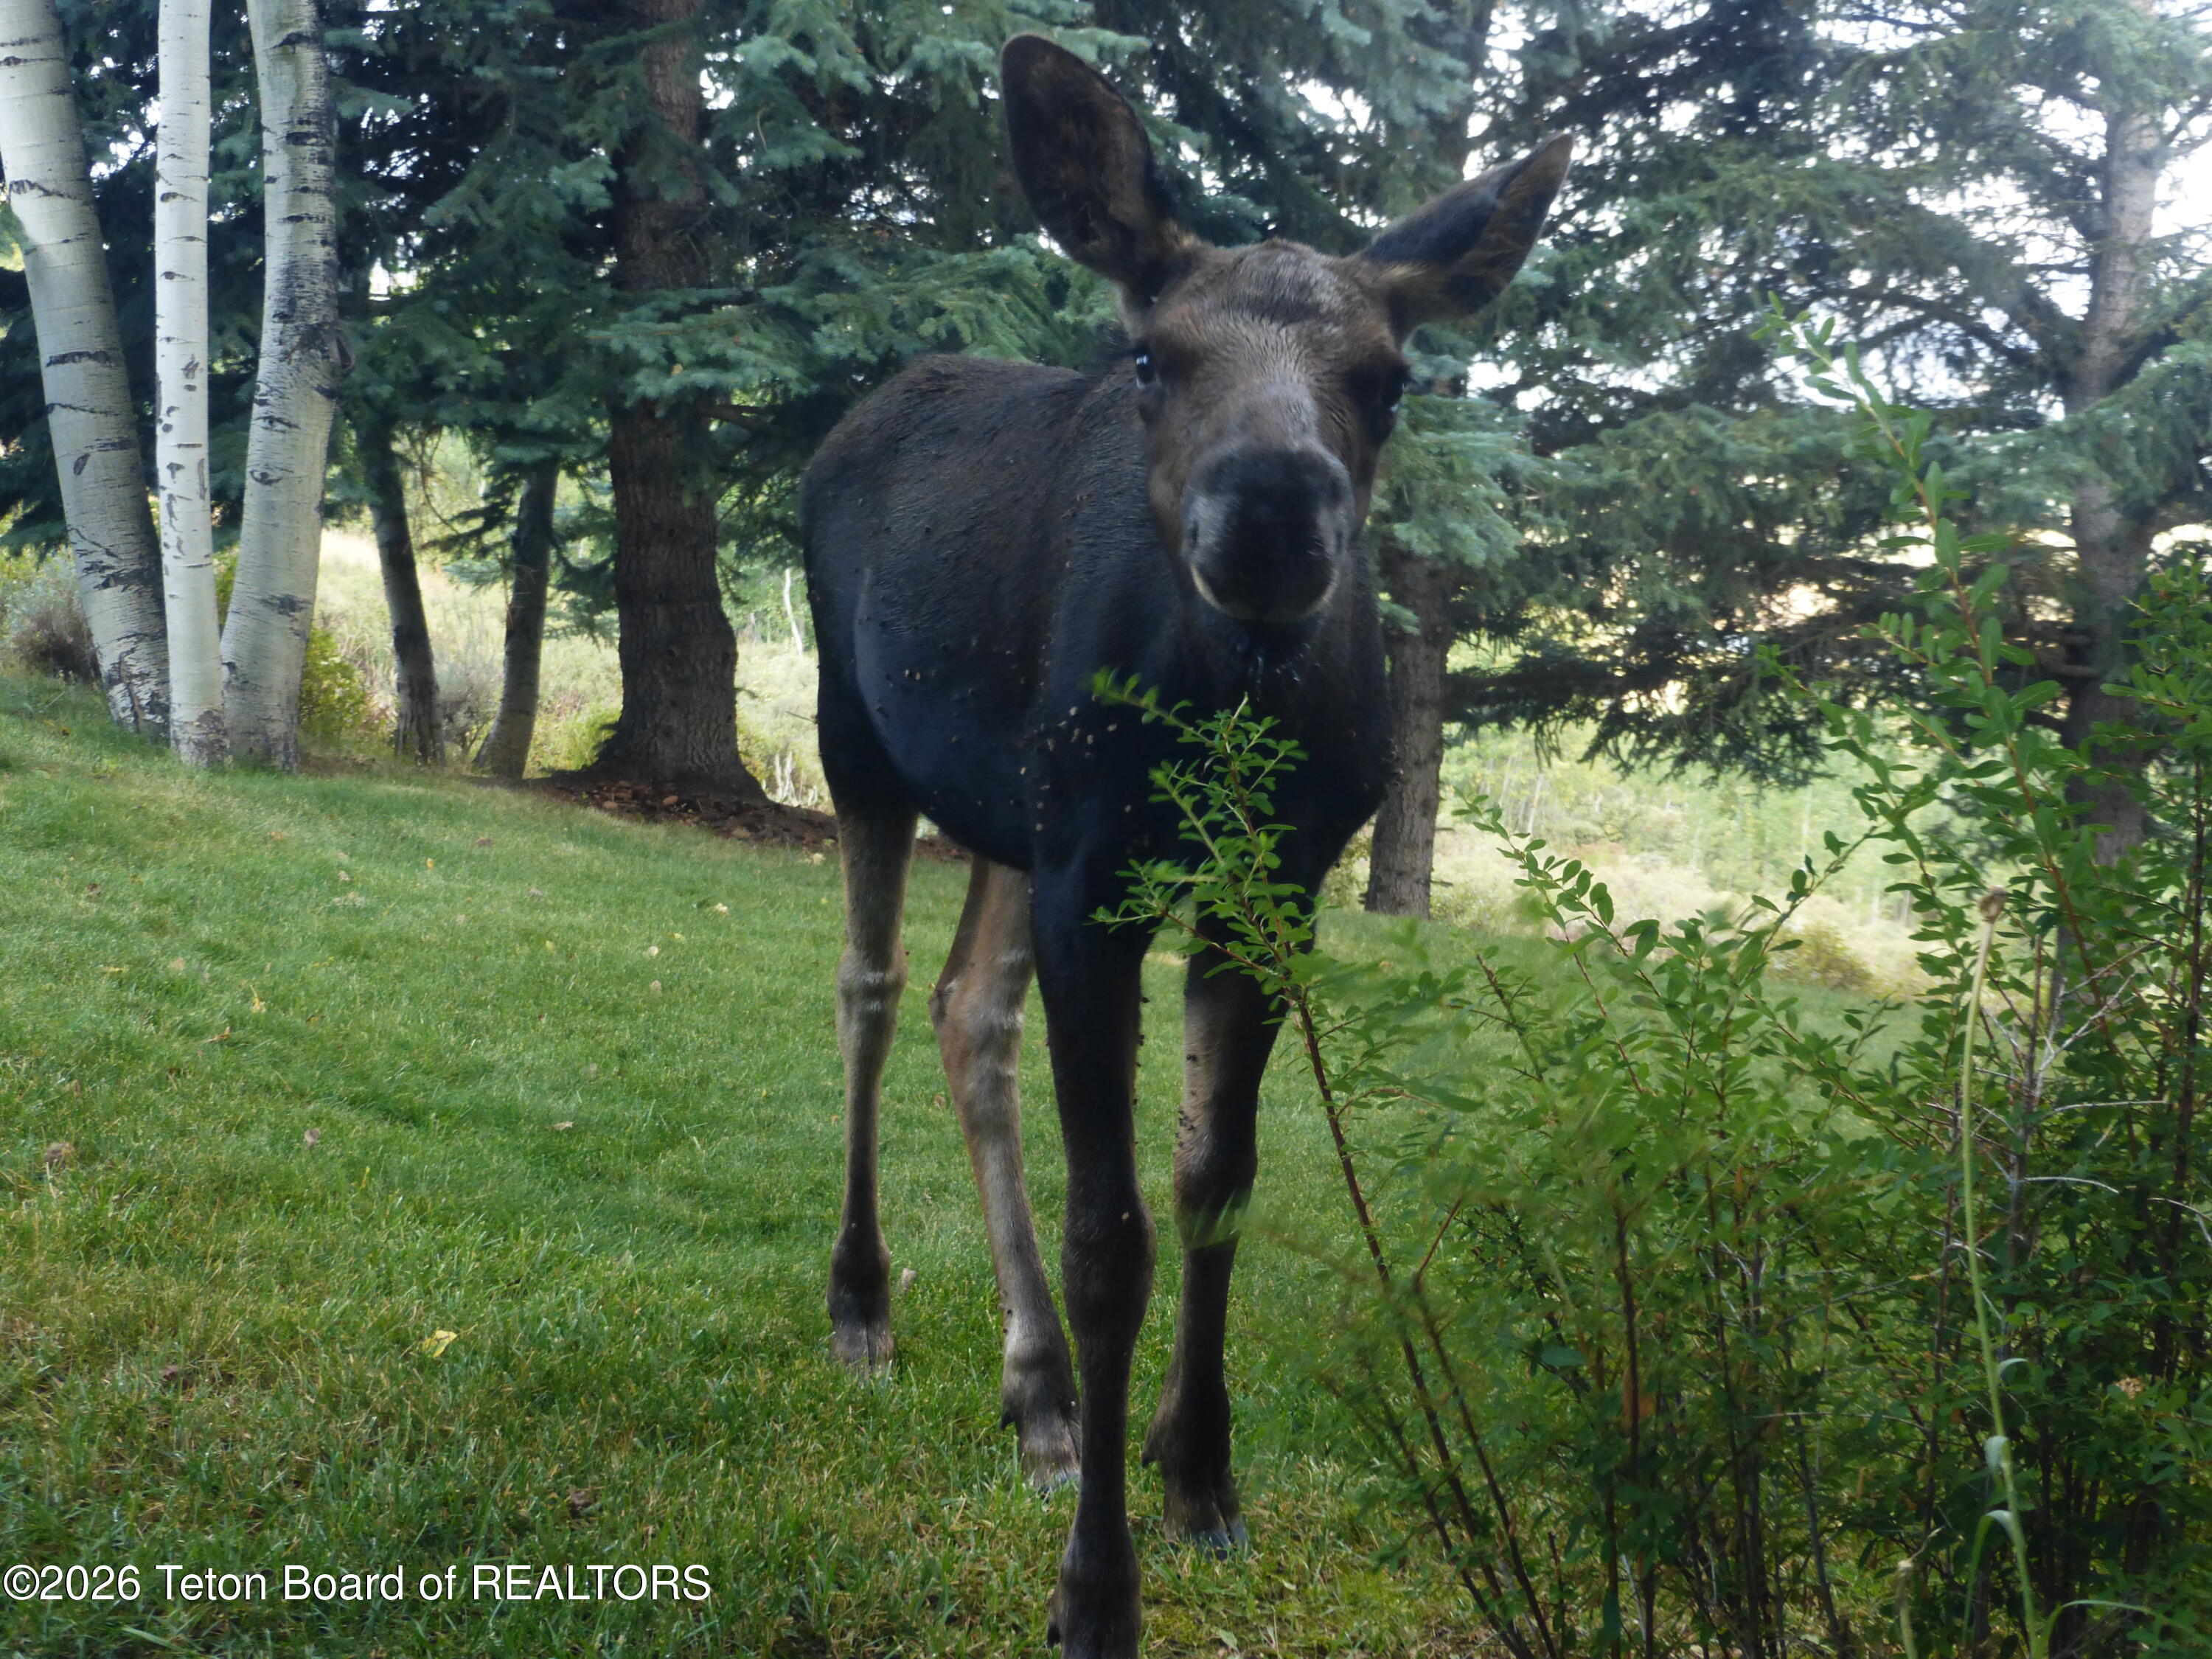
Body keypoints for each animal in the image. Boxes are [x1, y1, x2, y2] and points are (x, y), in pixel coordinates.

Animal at [799, 35, 1569, 1657]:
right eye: (1152, 358)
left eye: (1391, 378)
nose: (1271, 509)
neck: (1230, 717)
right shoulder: (1097, 871)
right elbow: (1117, 1238)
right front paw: (1097, 1590)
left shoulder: (1273, 879)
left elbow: (1218, 1177)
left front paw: (1194, 1470)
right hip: (861, 741)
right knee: (870, 992)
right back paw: (863, 1304)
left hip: (1012, 811)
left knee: (969, 1011)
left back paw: (1037, 1397)